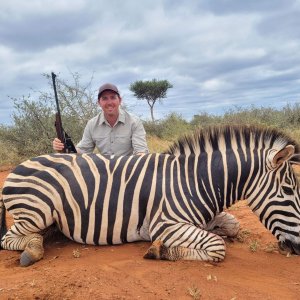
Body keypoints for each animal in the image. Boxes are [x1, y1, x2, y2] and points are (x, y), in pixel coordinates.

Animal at [0, 125, 300, 266]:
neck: (196, 181)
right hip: (37, 211)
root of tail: (19, 167)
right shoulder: (165, 225)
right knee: (9, 239)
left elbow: (232, 226)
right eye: (289, 191)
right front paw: (161, 251)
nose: (298, 249)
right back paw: (32, 249)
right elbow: (217, 246)